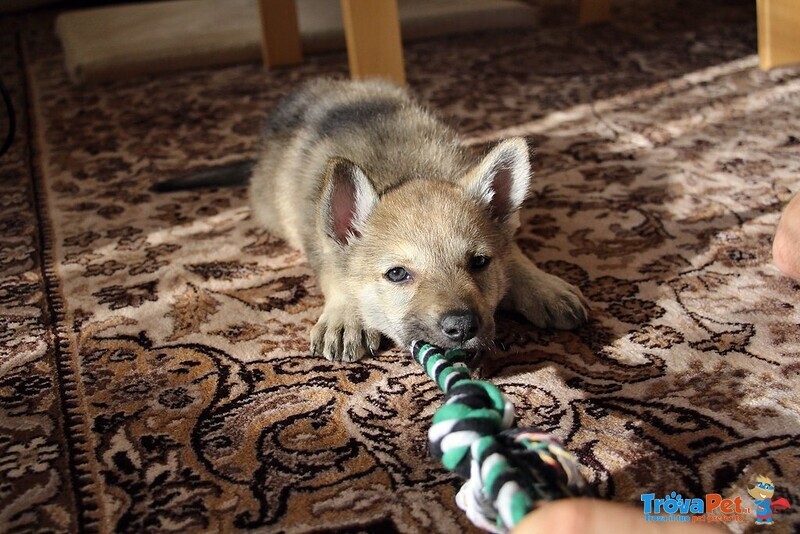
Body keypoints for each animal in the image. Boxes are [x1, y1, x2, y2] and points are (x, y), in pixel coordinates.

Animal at [247, 80, 584, 364]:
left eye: (479, 262)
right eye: (397, 274)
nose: (462, 326)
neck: (404, 173)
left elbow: (514, 253)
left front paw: (544, 287)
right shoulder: (318, 238)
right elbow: (334, 271)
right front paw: (346, 316)